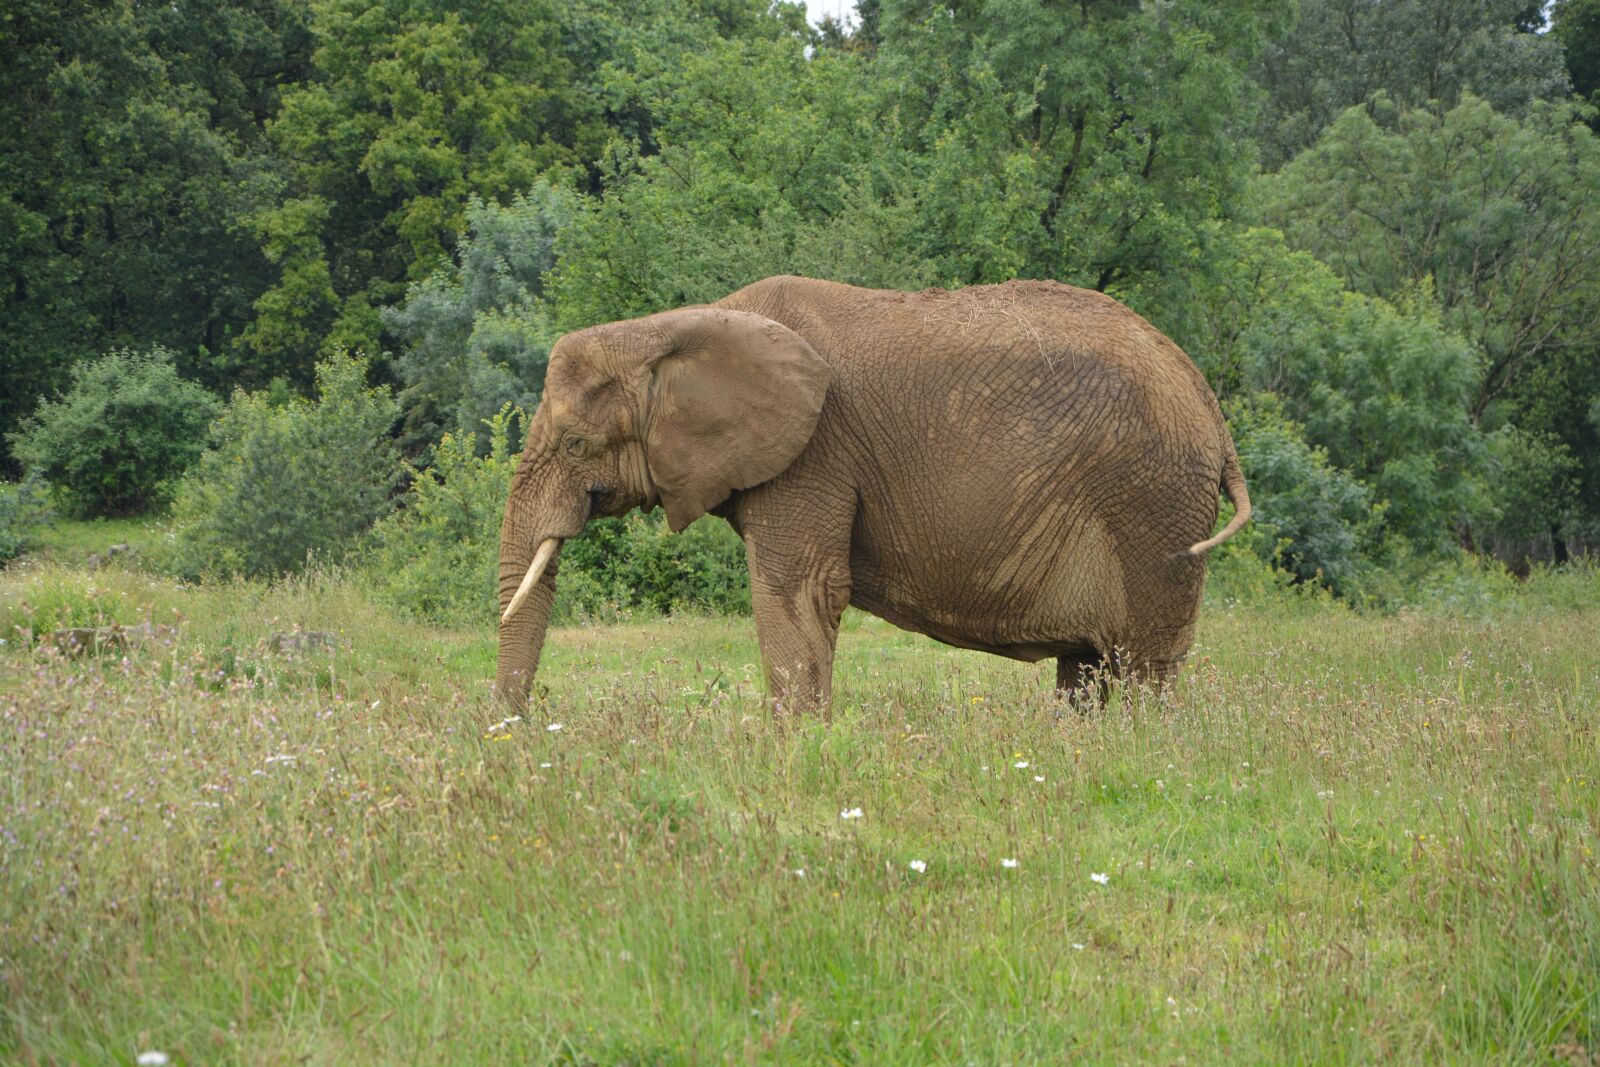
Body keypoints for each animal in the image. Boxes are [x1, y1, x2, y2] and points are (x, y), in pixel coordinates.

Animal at [497, 275, 1250, 710]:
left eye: (575, 443)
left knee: (1142, 669)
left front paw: (793, 748)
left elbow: (803, 589)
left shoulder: (815, 453)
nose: (515, 732)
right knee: (1087, 671)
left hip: (1153, 505)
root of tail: (1209, 405)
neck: (672, 328)